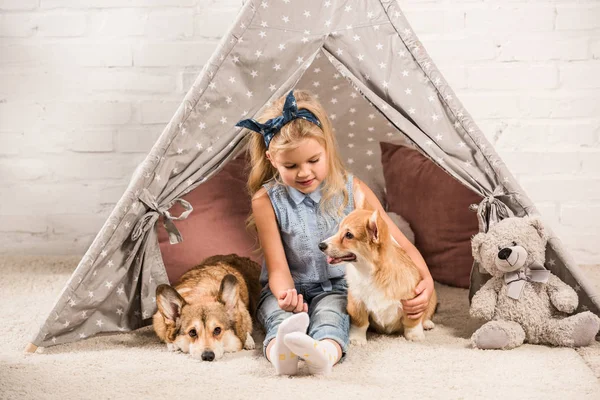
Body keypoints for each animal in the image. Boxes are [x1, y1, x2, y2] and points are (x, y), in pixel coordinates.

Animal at [318, 191, 436, 344]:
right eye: (338, 230)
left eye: (349, 235)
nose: (320, 245)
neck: (371, 273)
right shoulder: (356, 302)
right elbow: (360, 323)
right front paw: (357, 339)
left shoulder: (412, 304)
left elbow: (412, 323)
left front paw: (415, 336)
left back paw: (427, 323)